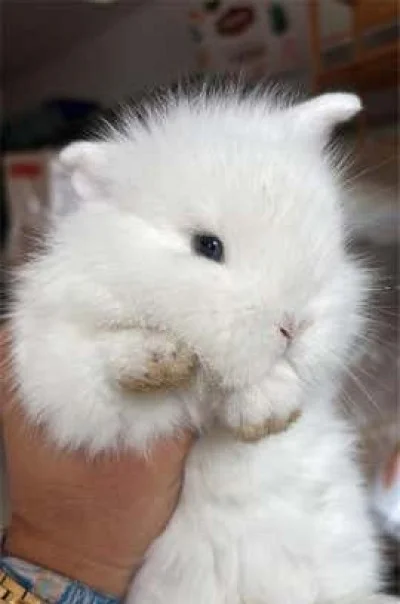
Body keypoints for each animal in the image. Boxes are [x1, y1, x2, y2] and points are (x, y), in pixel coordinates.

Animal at [11, 86, 390, 604]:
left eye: (330, 240)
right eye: (207, 246)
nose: (294, 325)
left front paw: (267, 409)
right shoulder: (66, 377)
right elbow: (110, 369)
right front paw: (158, 359)